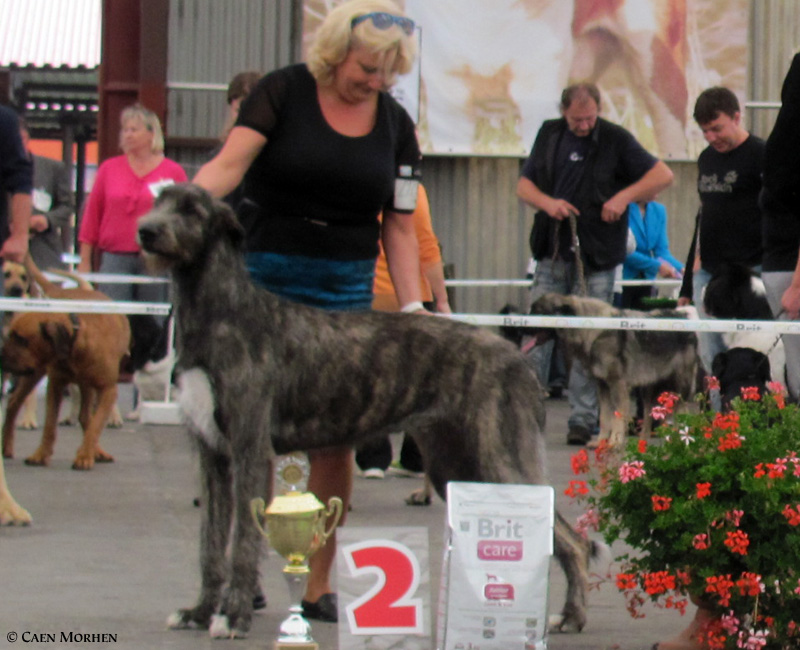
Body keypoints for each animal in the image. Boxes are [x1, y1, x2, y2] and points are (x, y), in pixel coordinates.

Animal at [1, 260, 130, 470]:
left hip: (85, 384)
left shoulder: (108, 389)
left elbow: (96, 424)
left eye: (21, 339)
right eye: (10, 335)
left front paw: (85, 456)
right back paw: (7, 446)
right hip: (35, 372)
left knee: (86, 417)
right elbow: (49, 425)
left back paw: (96, 451)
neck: (75, 341)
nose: (0, 356)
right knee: (13, 403)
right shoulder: (55, 384)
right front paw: (40, 455)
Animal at [138, 184, 596, 636]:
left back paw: (571, 615)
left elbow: (245, 541)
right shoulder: (213, 455)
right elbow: (211, 541)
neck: (222, 313)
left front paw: (233, 616)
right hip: (456, 460)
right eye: (159, 202)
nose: (145, 231)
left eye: (191, 209)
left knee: (572, 540)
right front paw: (200, 611)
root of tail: (516, 357)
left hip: (500, 455)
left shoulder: (250, 448)